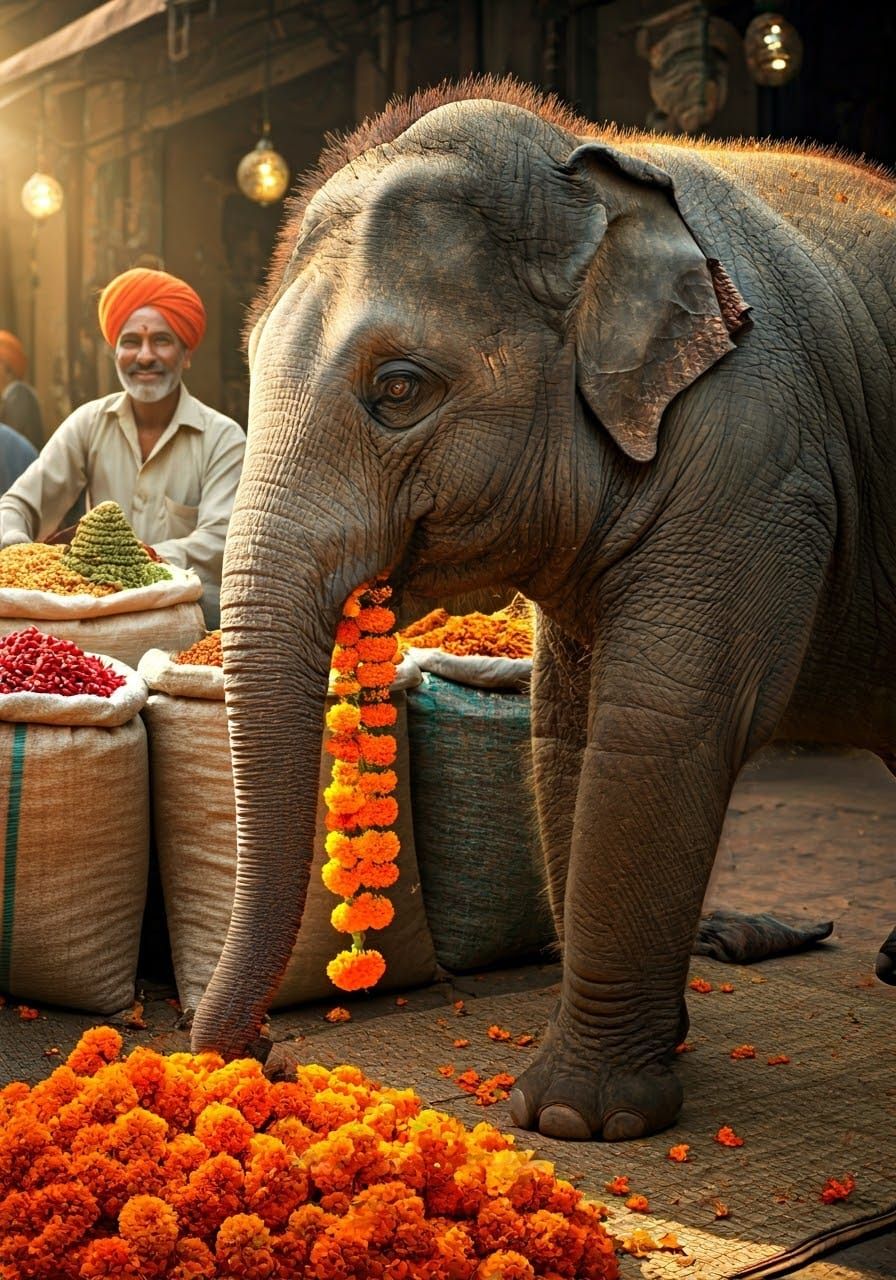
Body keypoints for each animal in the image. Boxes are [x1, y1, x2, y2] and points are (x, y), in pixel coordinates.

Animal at [191, 77, 896, 1142]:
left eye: (400, 388)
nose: (266, 1055)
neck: (584, 165)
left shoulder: (756, 455)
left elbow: (658, 726)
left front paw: (575, 1119)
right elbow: (563, 730)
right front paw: (650, 1059)